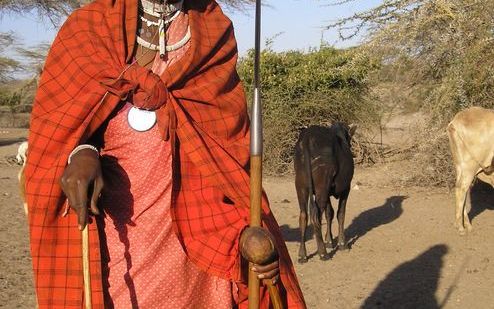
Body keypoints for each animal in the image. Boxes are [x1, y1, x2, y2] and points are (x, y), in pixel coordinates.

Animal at [292, 122, 356, 262]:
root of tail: (308, 136)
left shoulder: (327, 193)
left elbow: (329, 213)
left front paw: (329, 241)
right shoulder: (346, 189)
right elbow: (340, 214)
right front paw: (342, 243)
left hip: (301, 187)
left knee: (303, 216)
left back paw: (302, 254)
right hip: (322, 188)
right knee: (316, 217)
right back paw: (323, 253)